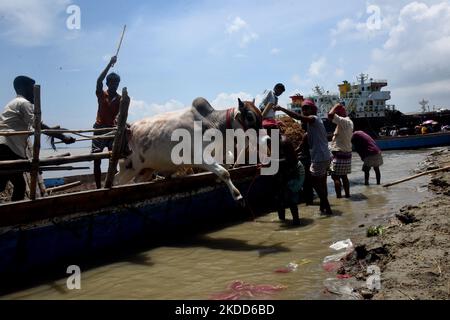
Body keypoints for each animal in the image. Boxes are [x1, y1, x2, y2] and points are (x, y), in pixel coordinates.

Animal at [114, 96, 266, 204]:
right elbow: (224, 172)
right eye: (250, 116)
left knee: (136, 182)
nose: (267, 139)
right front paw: (238, 195)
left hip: (145, 170)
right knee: (117, 182)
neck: (212, 124)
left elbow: (227, 164)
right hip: (128, 167)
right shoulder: (201, 157)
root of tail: (128, 128)